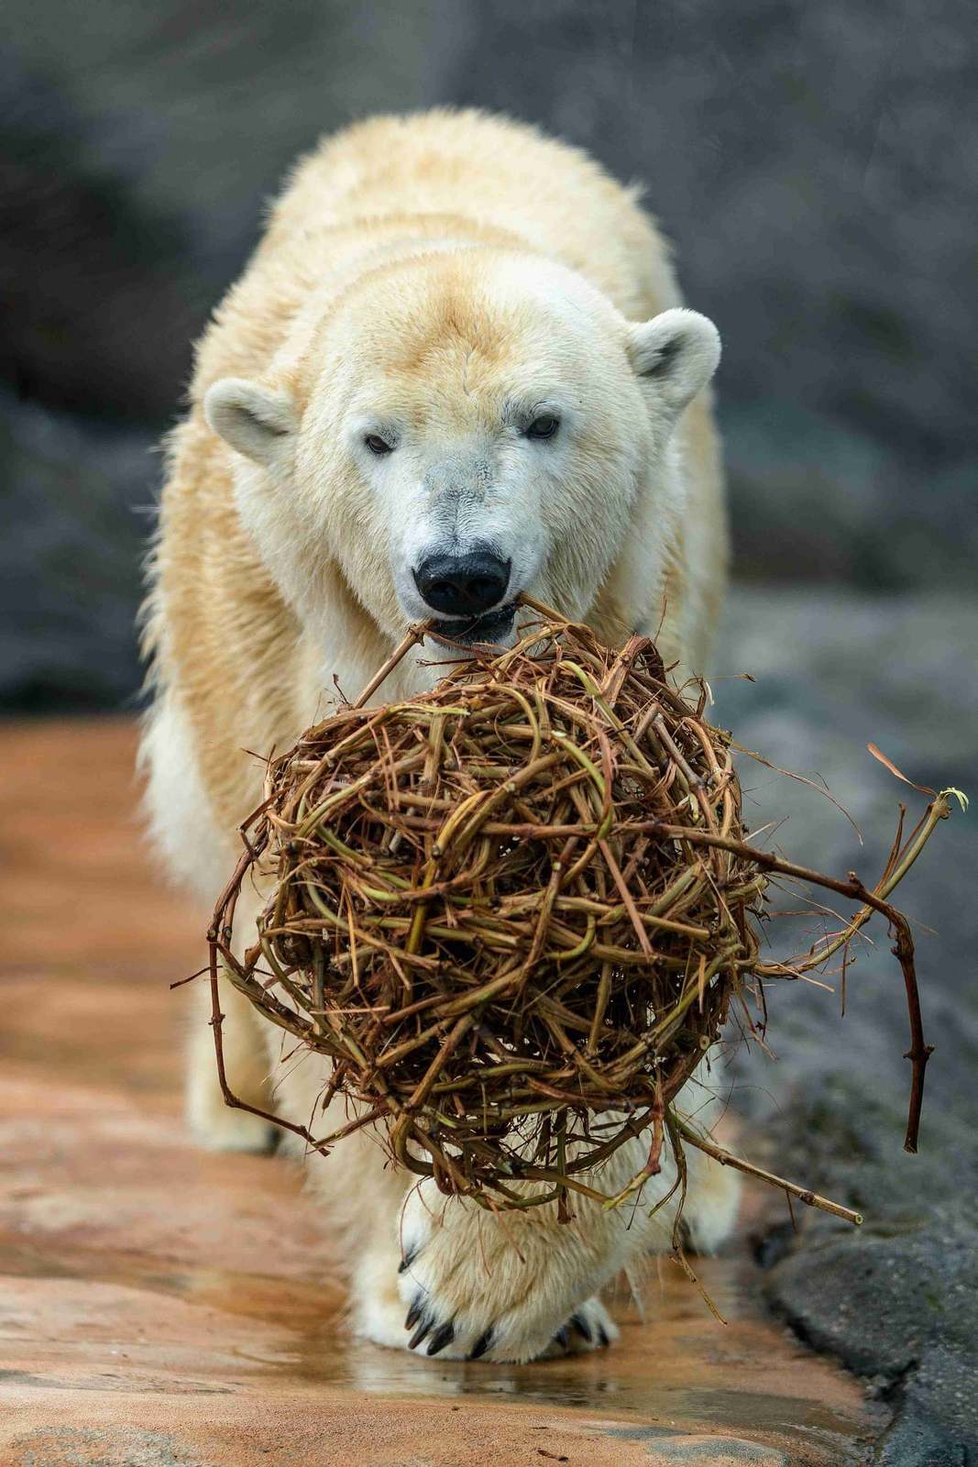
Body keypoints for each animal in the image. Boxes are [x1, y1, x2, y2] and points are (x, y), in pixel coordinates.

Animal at [141, 111, 738, 1361]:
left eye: (543, 421)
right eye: (375, 440)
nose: (462, 573)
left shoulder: (635, 620)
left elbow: (633, 927)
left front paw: (486, 1284)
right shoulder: (277, 652)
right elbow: (317, 950)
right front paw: (415, 1283)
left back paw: (703, 1196)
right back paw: (233, 1108)